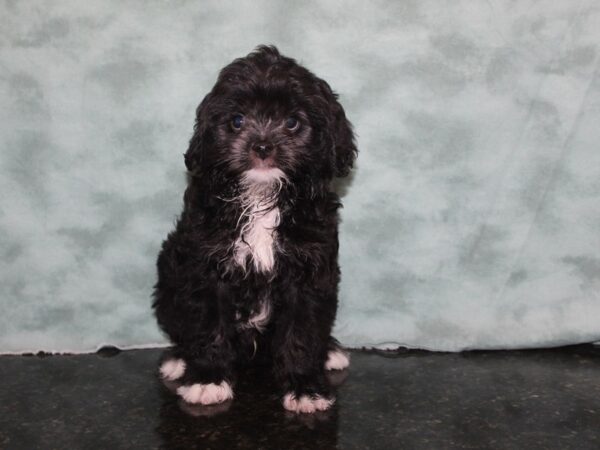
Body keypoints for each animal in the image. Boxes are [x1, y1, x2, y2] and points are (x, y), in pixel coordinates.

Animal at [154, 44, 356, 414]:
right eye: (237, 121)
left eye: (292, 122)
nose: (262, 147)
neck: (262, 197)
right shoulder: (204, 264)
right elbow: (208, 323)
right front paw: (207, 379)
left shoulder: (310, 266)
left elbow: (303, 329)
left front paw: (306, 387)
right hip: (168, 275)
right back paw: (179, 359)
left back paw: (330, 351)